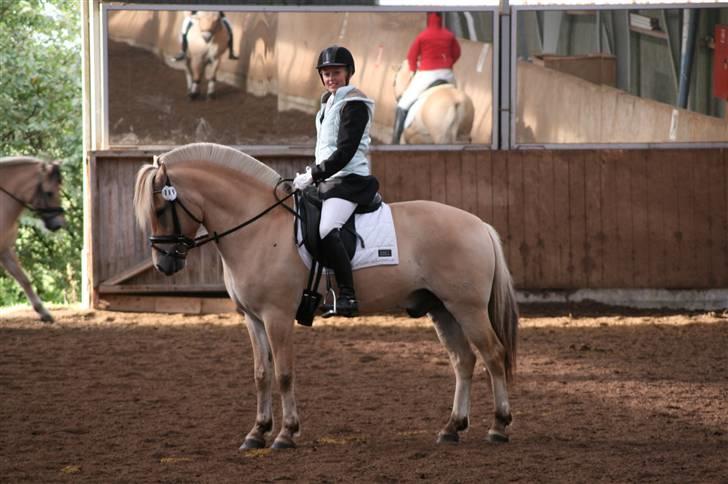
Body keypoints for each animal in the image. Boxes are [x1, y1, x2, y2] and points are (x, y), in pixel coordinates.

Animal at [134, 143, 520, 450]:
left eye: (161, 209)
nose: (164, 263)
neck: (258, 227)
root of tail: (479, 225)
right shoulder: (253, 318)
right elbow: (261, 374)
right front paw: (257, 432)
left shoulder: (277, 316)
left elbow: (284, 373)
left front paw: (285, 434)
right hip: (441, 309)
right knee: (463, 361)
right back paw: (451, 428)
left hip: (467, 308)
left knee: (493, 355)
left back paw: (498, 427)